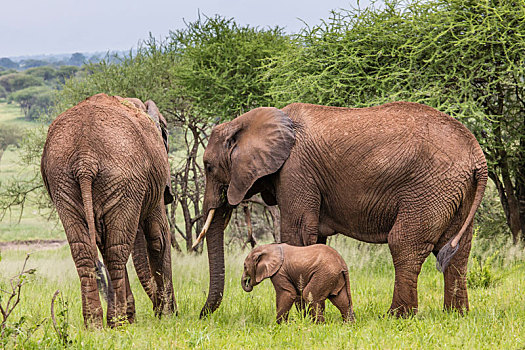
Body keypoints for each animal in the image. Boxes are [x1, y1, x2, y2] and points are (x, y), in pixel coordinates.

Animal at [41, 93, 175, 328]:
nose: (157, 309)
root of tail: (84, 159)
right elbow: (158, 237)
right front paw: (167, 316)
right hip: (121, 178)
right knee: (116, 249)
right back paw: (118, 322)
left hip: (62, 181)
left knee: (85, 251)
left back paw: (95, 325)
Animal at [195, 100, 488, 318]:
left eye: (208, 166)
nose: (202, 315)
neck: (247, 121)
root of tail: (478, 155)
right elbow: (314, 239)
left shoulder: (295, 170)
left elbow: (297, 233)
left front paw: (302, 317)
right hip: (456, 190)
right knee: (458, 251)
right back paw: (455, 315)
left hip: (428, 187)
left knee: (404, 244)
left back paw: (396, 317)